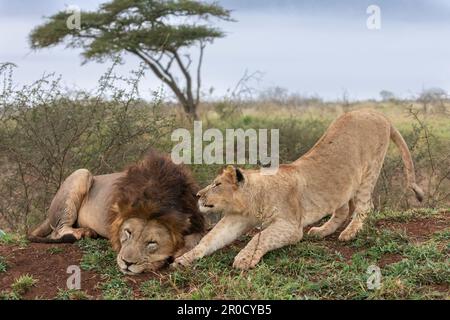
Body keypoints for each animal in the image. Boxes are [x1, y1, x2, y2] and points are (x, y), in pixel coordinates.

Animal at [30, 149, 207, 272]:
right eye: (127, 232)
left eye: (152, 242)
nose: (127, 263)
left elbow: (197, 236)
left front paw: (182, 251)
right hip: (82, 173)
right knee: (57, 232)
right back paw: (83, 232)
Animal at [173, 110, 426, 270]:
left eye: (217, 185)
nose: (197, 195)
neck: (251, 201)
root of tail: (380, 114)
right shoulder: (235, 219)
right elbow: (211, 239)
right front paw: (184, 258)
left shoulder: (290, 226)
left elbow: (259, 236)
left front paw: (244, 259)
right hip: (343, 184)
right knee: (343, 209)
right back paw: (322, 231)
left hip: (369, 171)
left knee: (365, 205)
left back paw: (350, 232)